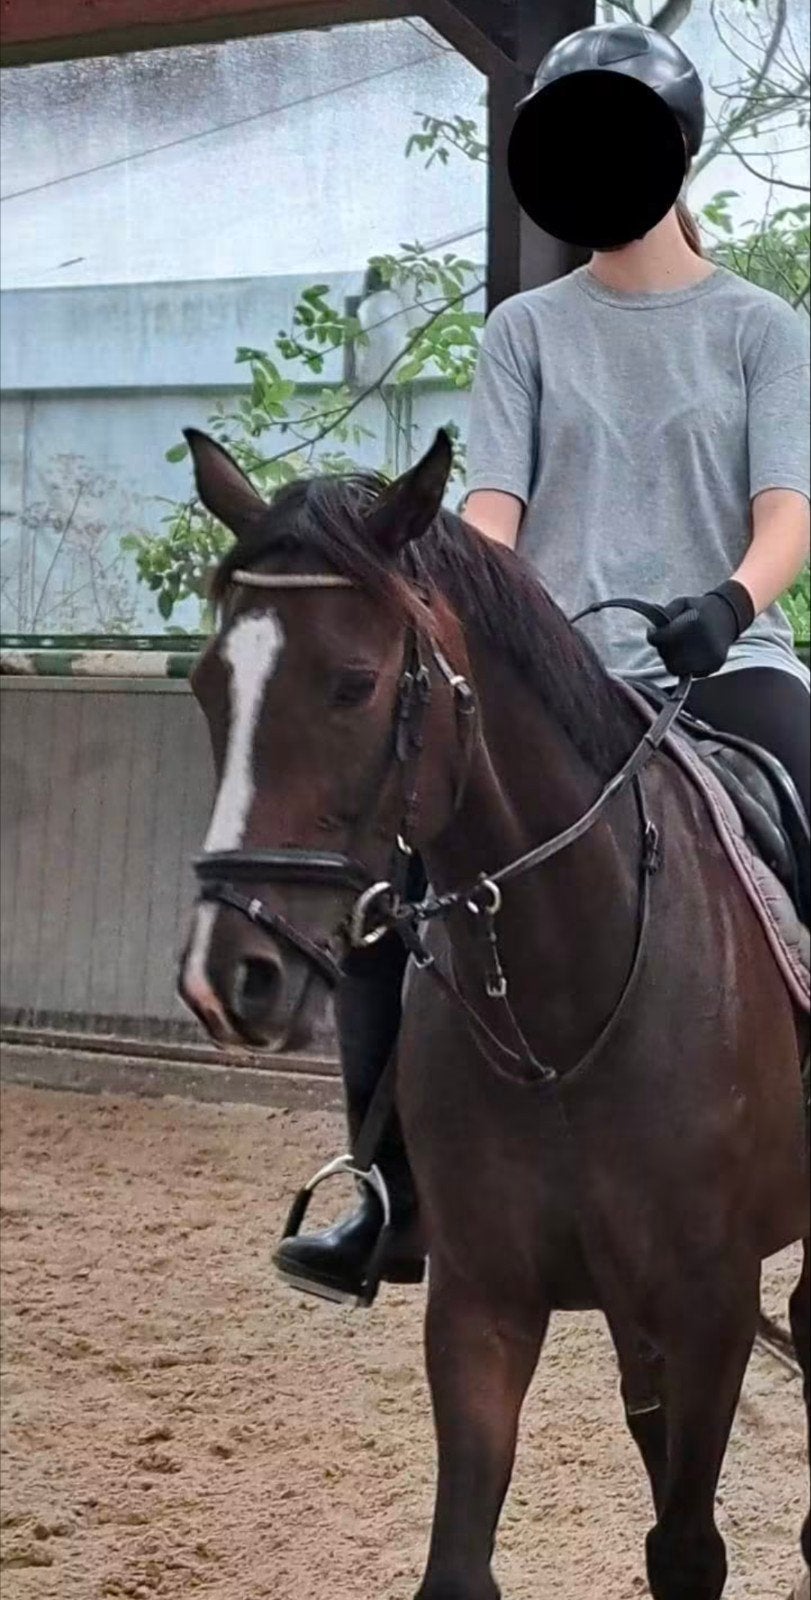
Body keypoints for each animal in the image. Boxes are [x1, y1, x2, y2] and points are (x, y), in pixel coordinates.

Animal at [177, 426, 809, 1600]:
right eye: (208, 685)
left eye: (354, 683)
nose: (225, 974)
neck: (558, 1017)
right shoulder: (481, 1300)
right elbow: (461, 1562)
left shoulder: (710, 1302)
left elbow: (686, 1549)